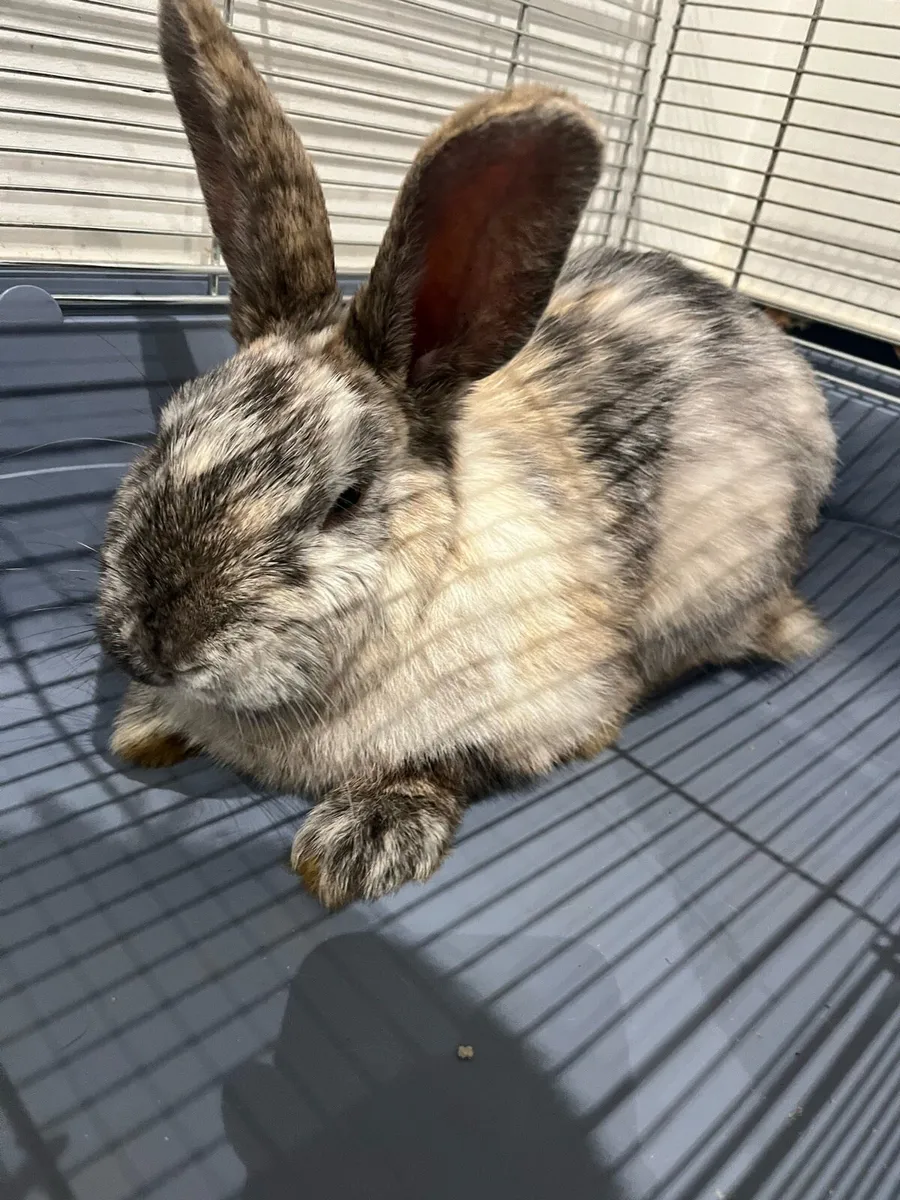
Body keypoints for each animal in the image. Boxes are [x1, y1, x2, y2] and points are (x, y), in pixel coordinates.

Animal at [96, 0, 837, 908]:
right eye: (166, 430)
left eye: (345, 499)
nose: (152, 644)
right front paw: (143, 729)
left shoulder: (547, 708)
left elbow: (454, 766)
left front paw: (360, 843)